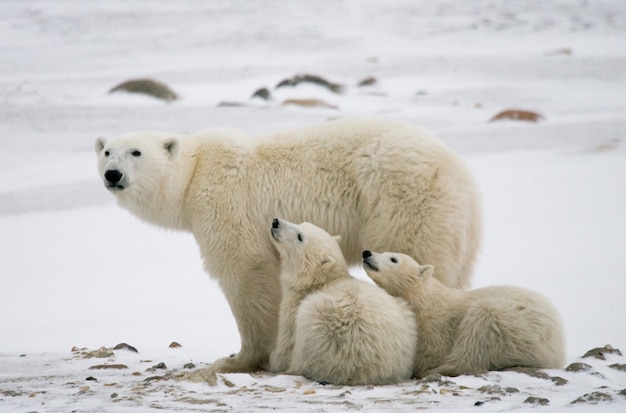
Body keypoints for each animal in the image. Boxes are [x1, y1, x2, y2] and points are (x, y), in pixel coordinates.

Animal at [94, 116, 482, 380]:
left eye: (136, 152)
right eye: (107, 151)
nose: (112, 175)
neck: (194, 175)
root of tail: (461, 175)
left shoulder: (226, 205)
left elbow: (246, 272)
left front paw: (240, 358)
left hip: (402, 203)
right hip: (458, 228)